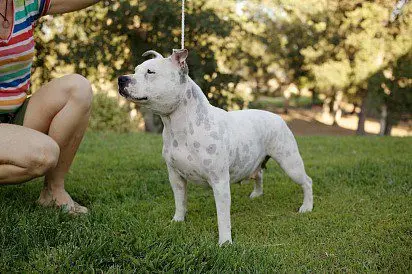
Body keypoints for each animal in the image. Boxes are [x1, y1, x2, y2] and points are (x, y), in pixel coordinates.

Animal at [118, 49, 312, 246]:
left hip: (290, 163)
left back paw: (306, 207)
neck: (179, 125)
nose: (121, 79)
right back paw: (257, 194)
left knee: (307, 181)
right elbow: (180, 202)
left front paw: (225, 242)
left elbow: (223, 217)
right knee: (259, 174)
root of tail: (277, 116)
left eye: (150, 72)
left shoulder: (219, 182)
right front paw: (177, 221)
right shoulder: (175, 177)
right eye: (135, 70)